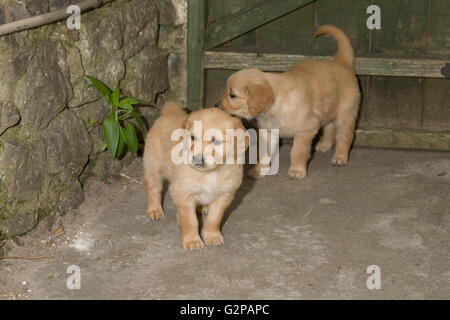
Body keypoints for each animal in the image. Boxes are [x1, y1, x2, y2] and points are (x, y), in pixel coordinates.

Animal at [144, 102, 250, 250]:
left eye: (216, 141)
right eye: (193, 137)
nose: (197, 159)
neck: (211, 174)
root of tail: (168, 113)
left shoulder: (224, 195)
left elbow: (214, 218)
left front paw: (212, 235)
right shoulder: (184, 192)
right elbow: (190, 220)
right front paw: (192, 240)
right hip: (153, 168)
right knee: (153, 189)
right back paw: (154, 210)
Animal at [216, 25, 360, 180]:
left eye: (232, 95)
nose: (215, 105)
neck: (275, 107)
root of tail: (342, 62)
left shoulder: (306, 129)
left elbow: (296, 151)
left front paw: (297, 170)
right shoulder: (269, 131)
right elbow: (264, 153)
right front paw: (260, 170)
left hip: (346, 112)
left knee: (345, 135)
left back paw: (340, 157)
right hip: (328, 108)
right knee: (330, 126)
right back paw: (325, 145)